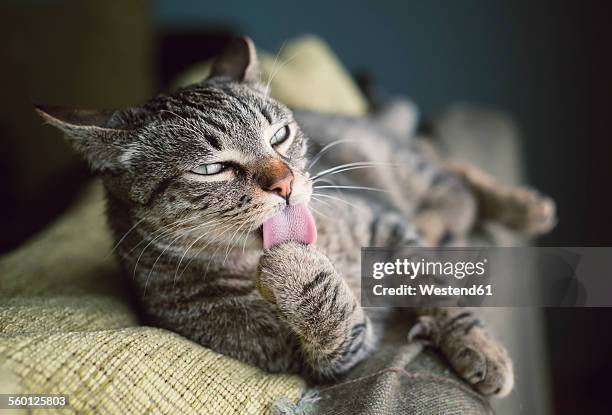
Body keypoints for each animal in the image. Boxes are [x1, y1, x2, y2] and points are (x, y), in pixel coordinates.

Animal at [35, 37, 556, 398]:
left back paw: (521, 207)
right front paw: (298, 270)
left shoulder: (385, 222)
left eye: (279, 135)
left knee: (452, 178)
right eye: (211, 168)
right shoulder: (316, 359)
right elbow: (337, 319)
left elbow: (438, 292)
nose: (284, 183)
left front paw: (481, 348)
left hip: (394, 161)